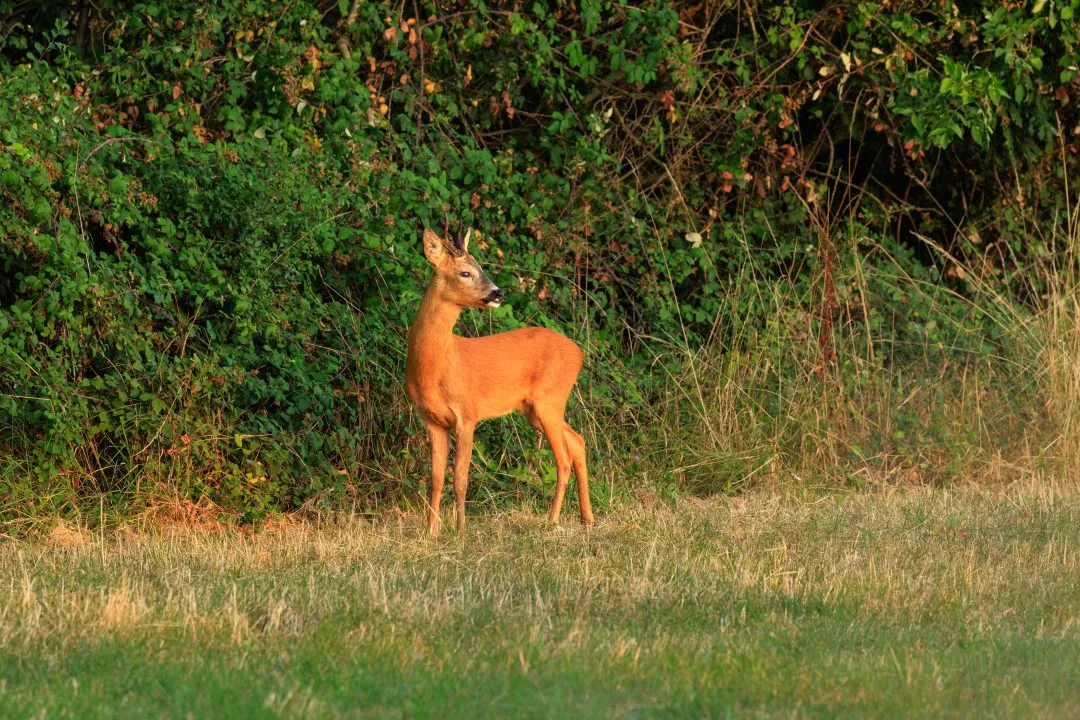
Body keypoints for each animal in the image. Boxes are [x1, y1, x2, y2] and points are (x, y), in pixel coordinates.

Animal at [405, 222, 595, 538]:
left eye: (481, 267)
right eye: (465, 272)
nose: (499, 293)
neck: (436, 366)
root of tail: (578, 352)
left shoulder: (467, 414)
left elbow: (460, 478)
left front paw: (460, 533)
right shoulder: (432, 420)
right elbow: (436, 478)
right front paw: (431, 533)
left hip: (550, 399)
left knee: (563, 457)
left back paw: (553, 520)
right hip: (533, 409)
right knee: (577, 441)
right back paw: (587, 518)